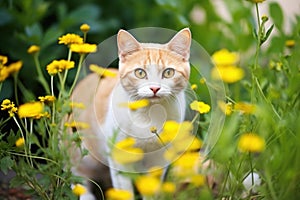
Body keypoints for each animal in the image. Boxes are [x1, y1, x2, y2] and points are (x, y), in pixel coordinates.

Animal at [70, 27, 191, 199]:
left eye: (168, 72)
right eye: (140, 73)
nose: (155, 88)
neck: (148, 115)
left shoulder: (159, 159)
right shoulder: (119, 157)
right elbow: (124, 191)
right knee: (74, 172)